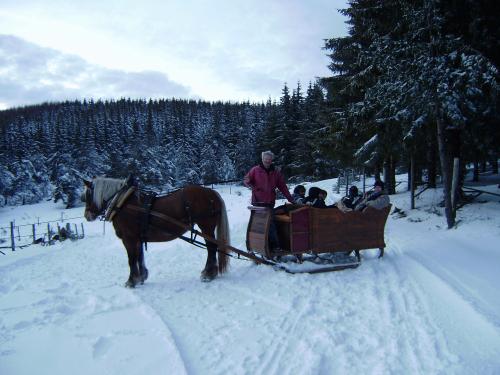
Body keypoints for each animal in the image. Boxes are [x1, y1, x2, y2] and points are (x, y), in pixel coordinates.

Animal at [81, 177, 230, 288]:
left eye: (87, 195)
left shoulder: (128, 238)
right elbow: (139, 257)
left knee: (211, 248)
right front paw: (141, 277)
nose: (87, 216)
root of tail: (211, 193)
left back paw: (208, 274)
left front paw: (131, 281)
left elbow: (131, 259)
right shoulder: (137, 238)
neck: (122, 204)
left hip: (206, 227)